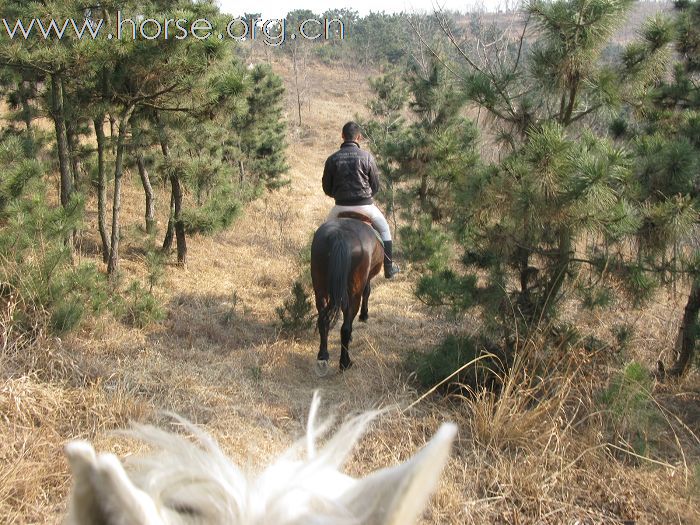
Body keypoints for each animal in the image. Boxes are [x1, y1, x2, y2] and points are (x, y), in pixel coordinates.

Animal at [310, 211, 382, 374]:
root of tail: (339, 235)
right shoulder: (366, 278)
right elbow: (367, 292)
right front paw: (364, 315)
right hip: (354, 293)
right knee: (345, 327)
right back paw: (345, 362)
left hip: (320, 288)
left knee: (323, 320)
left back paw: (323, 356)